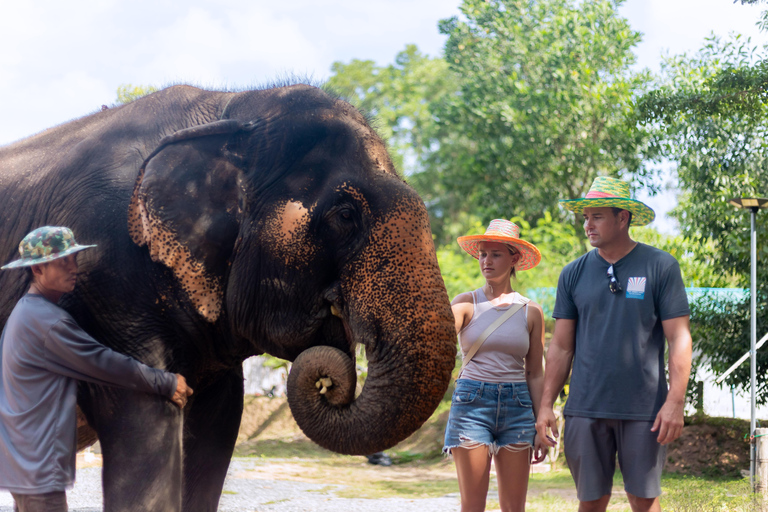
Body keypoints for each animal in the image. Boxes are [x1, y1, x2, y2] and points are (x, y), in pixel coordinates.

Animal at [0, 85, 456, 512]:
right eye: (345, 215)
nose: (328, 382)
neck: (235, 109)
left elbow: (218, 421)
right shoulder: (106, 282)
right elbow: (146, 410)